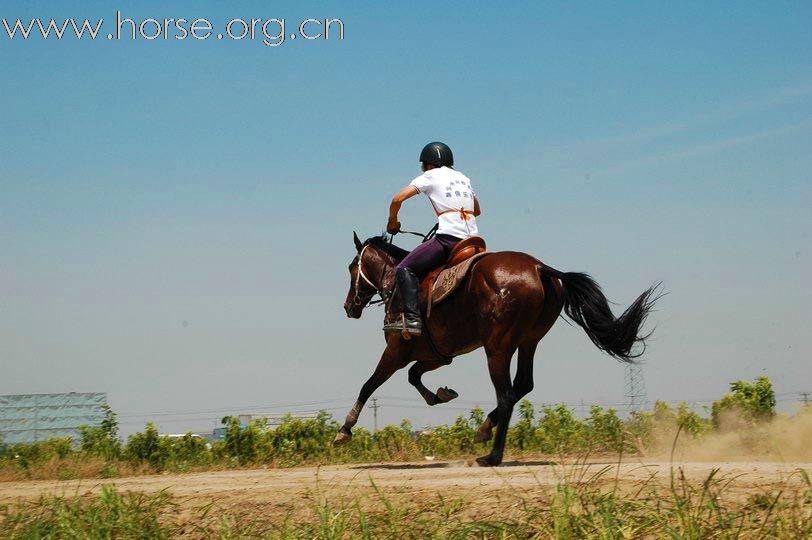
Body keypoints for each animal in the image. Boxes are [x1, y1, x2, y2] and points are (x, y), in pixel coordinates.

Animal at [334, 230, 656, 466]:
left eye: (351, 268)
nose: (349, 307)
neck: (396, 281)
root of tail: (539, 267)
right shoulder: (438, 354)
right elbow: (415, 376)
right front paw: (442, 394)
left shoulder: (396, 353)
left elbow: (369, 384)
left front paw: (344, 430)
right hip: (528, 342)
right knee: (523, 385)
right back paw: (485, 429)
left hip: (497, 347)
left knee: (507, 394)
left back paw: (493, 455)